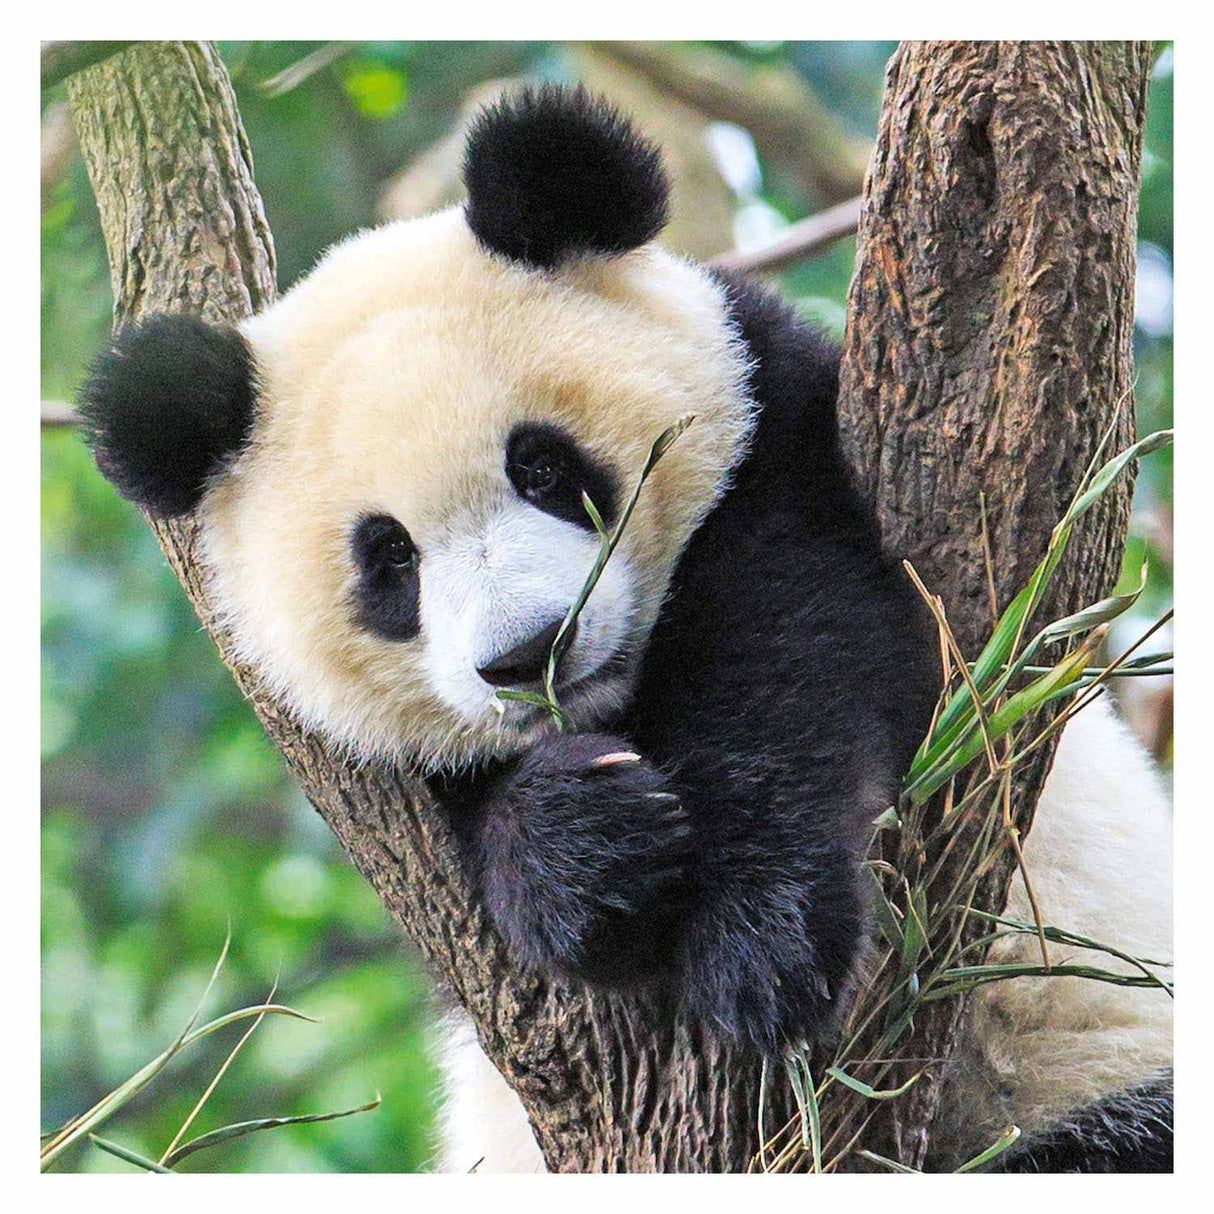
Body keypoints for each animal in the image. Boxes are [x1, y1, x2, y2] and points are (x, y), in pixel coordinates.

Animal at [77, 85, 1172, 1174]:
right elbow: (482, 863)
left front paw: (761, 945)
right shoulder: (394, 798)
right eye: (390, 559)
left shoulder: (783, 442)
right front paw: (584, 843)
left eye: (543, 466)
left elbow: (799, 656)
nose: (531, 653)